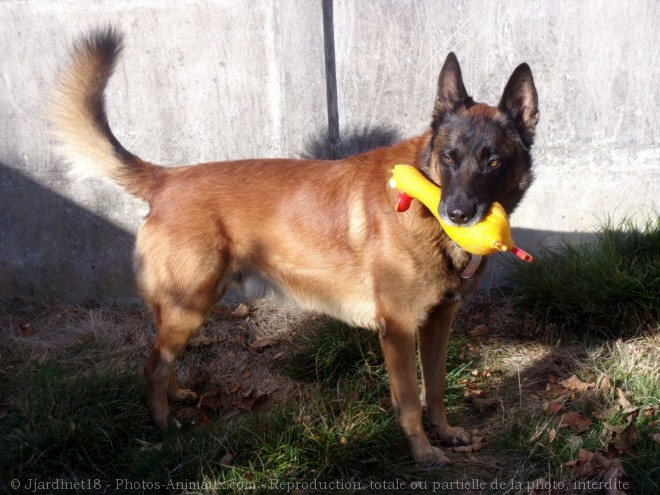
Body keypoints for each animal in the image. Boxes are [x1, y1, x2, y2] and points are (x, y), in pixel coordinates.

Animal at [50, 27, 536, 468]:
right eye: (449, 157)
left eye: (493, 162)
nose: (458, 213)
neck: (423, 200)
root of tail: (167, 179)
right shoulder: (397, 331)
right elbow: (410, 400)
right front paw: (422, 452)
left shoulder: (439, 321)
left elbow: (433, 388)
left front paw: (446, 433)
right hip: (190, 304)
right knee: (153, 364)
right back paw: (162, 424)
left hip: (185, 308)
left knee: (164, 357)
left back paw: (176, 398)